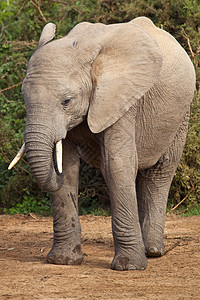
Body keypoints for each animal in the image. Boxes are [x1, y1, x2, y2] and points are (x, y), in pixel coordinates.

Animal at [9, 15, 195, 270]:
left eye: (66, 101)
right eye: (24, 98)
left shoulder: (121, 99)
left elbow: (116, 165)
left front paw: (128, 267)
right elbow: (68, 168)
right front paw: (63, 261)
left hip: (181, 115)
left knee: (160, 172)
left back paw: (153, 251)